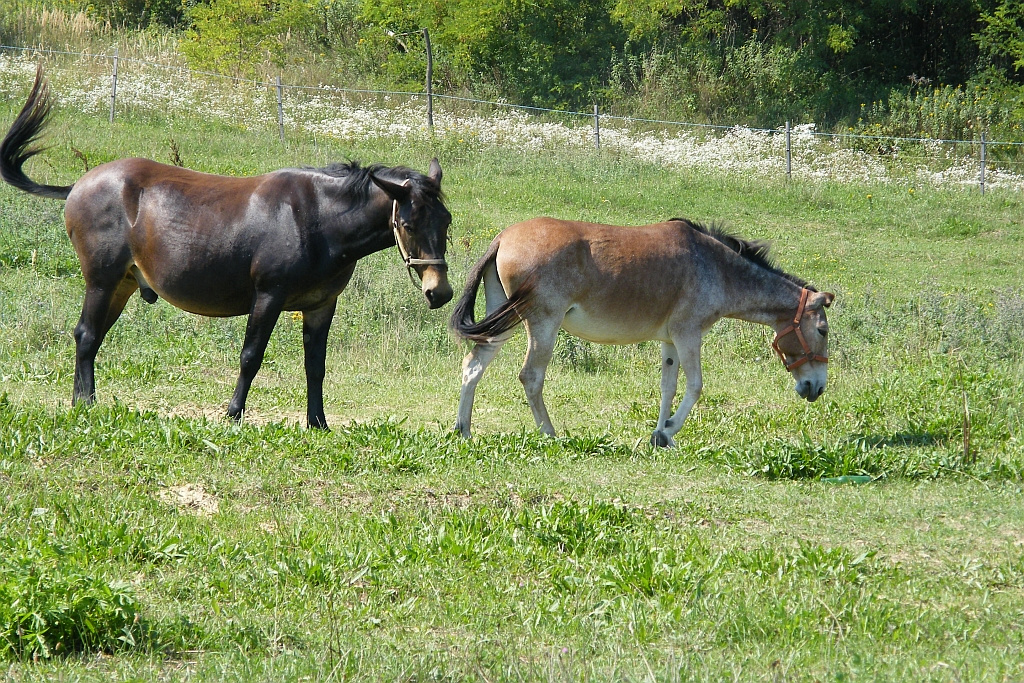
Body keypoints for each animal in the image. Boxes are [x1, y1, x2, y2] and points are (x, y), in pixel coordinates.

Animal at [0, 66, 456, 430]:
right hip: (101, 279)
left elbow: (316, 366)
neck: (316, 219)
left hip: (123, 283)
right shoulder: (269, 296)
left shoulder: (321, 305)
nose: (440, 292)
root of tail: (78, 185)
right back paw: (85, 404)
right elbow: (251, 356)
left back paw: (82, 402)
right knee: (87, 334)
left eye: (447, 223)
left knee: (91, 338)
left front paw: (318, 423)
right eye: (408, 224)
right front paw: (233, 415)